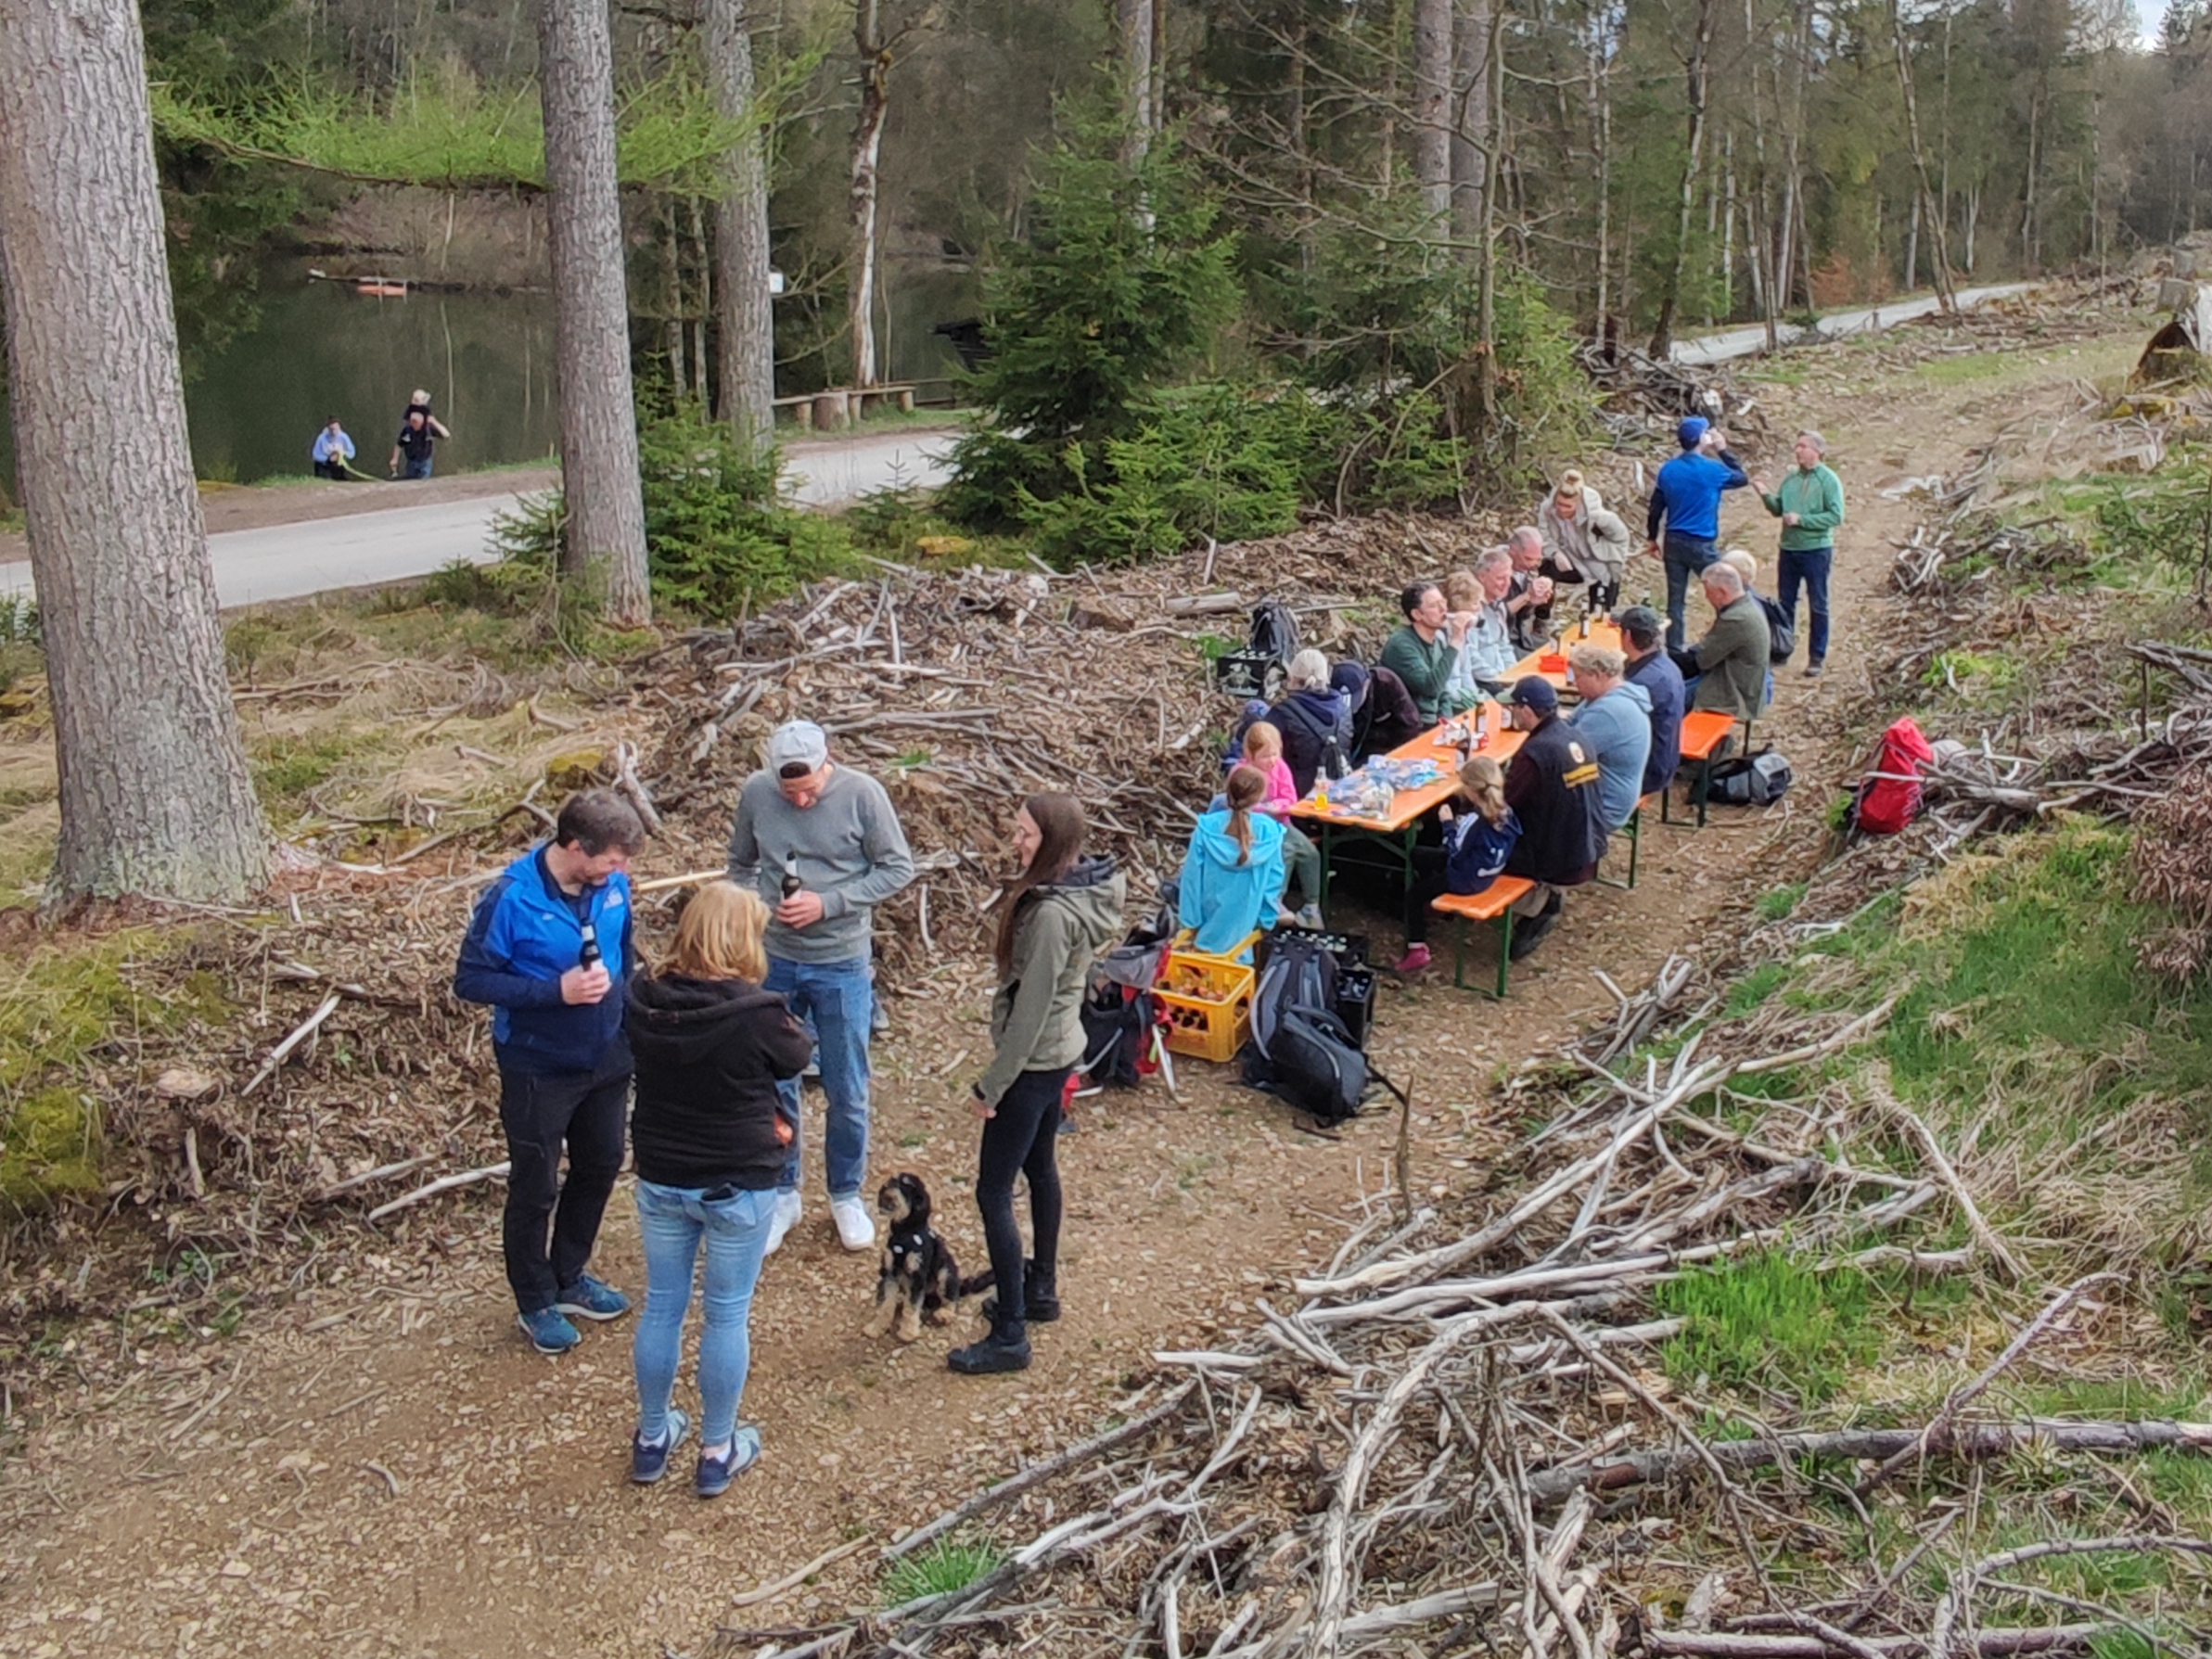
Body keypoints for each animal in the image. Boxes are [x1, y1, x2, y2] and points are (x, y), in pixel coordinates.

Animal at [863, 1176, 995, 1345]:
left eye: (906, 1185)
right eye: (894, 1178)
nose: (886, 1185)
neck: (905, 1232)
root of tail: (962, 1283)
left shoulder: (917, 1276)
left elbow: (912, 1306)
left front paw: (908, 1332)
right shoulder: (890, 1273)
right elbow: (885, 1304)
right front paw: (876, 1327)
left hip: (945, 1273)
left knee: (951, 1297)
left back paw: (944, 1313)